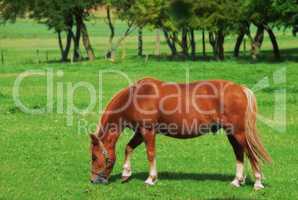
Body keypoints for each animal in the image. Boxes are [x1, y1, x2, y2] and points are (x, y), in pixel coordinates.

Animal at [89, 77, 272, 190]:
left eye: (94, 157)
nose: (94, 180)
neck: (136, 97)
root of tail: (240, 89)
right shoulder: (140, 132)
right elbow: (128, 148)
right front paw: (126, 173)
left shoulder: (148, 131)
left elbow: (150, 154)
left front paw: (151, 179)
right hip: (231, 133)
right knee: (239, 153)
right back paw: (236, 181)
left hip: (239, 132)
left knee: (251, 154)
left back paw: (257, 183)